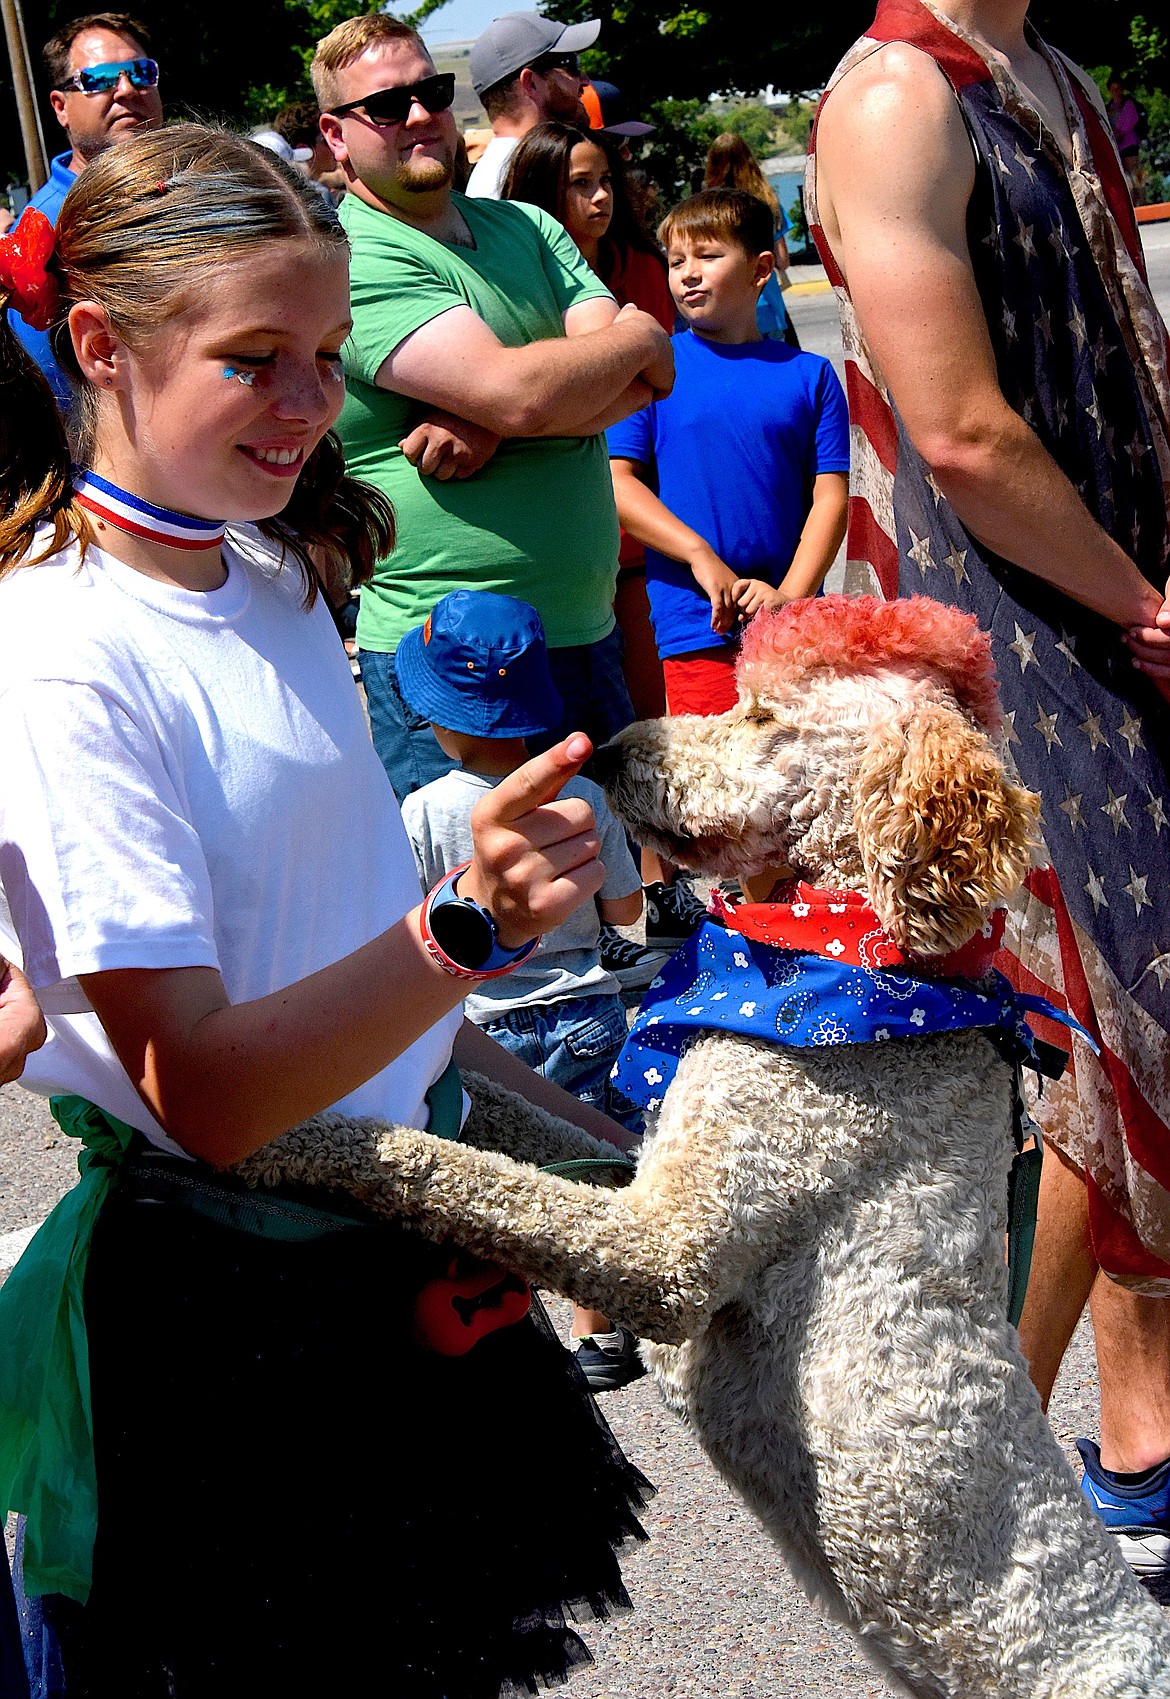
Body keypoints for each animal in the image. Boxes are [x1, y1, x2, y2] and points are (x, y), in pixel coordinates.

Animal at [237, 598, 1168, 1699]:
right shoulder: (648, 1163)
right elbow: (515, 1138)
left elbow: (473, 1180)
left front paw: (288, 1133)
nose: (607, 749)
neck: (856, 961)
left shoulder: (669, 1252)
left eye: (762, 714)